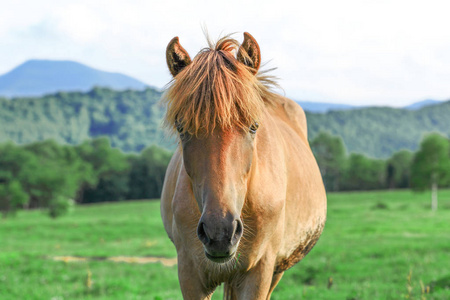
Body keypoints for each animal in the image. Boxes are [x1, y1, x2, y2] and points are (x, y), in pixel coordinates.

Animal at [162, 31, 326, 298]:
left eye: (254, 126)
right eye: (181, 128)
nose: (219, 232)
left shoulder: (259, 271)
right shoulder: (189, 272)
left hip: (275, 271)